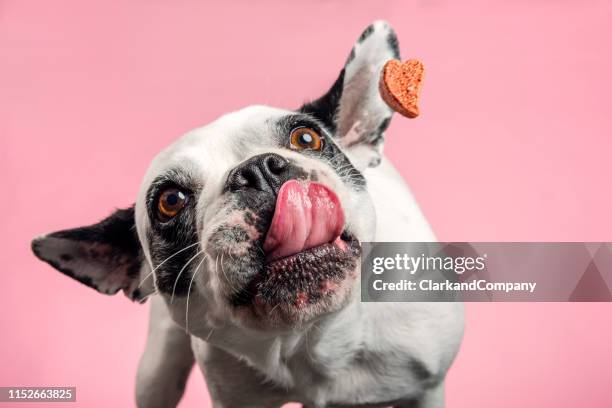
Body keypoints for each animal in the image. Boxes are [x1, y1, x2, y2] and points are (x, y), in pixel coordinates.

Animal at [32, 21, 464, 408]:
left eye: (306, 138)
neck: (314, 337)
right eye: (170, 201)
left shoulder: (427, 390)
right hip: (156, 369)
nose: (257, 170)